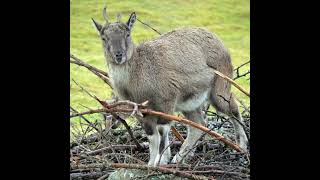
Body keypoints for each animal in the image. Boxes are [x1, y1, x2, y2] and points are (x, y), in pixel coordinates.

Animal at [91, 8, 249, 166]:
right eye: (104, 38)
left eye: (127, 34)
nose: (119, 55)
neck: (139, 72)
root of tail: (219, 42)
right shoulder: (144, 111)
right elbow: (152, 136)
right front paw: (152, 163)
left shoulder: (167, 100)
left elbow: (162, 131)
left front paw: (160, 161)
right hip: (189, 103)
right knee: (198, 125)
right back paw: (180, 157)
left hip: (220, 87)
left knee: (232, 107)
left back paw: (241, 146)